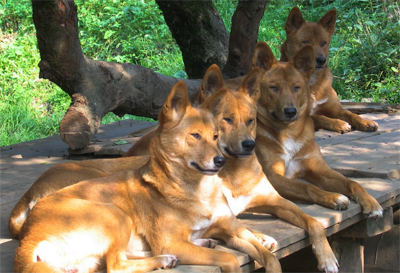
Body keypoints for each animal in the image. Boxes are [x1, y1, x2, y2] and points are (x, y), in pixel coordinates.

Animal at [13, 79, 282, 272]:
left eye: (216, 136)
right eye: (195, 136)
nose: (220, 160)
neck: (198, 191)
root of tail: (28, 236)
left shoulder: (229, 226)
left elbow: (263, 251)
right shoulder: (172, 241)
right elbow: (230, 259)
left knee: (119, 257)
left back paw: (176, 253)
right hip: (114, 214)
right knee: (117, 265)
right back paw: (165, 257)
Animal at [252, 41, 382, 221]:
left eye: (297, 87)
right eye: (274, 88)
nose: (290, 111)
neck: (289, 133)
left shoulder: (319, 168)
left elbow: (352, 182)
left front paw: (371, 203)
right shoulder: (273, 176)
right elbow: (308, 188)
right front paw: (334, 197)